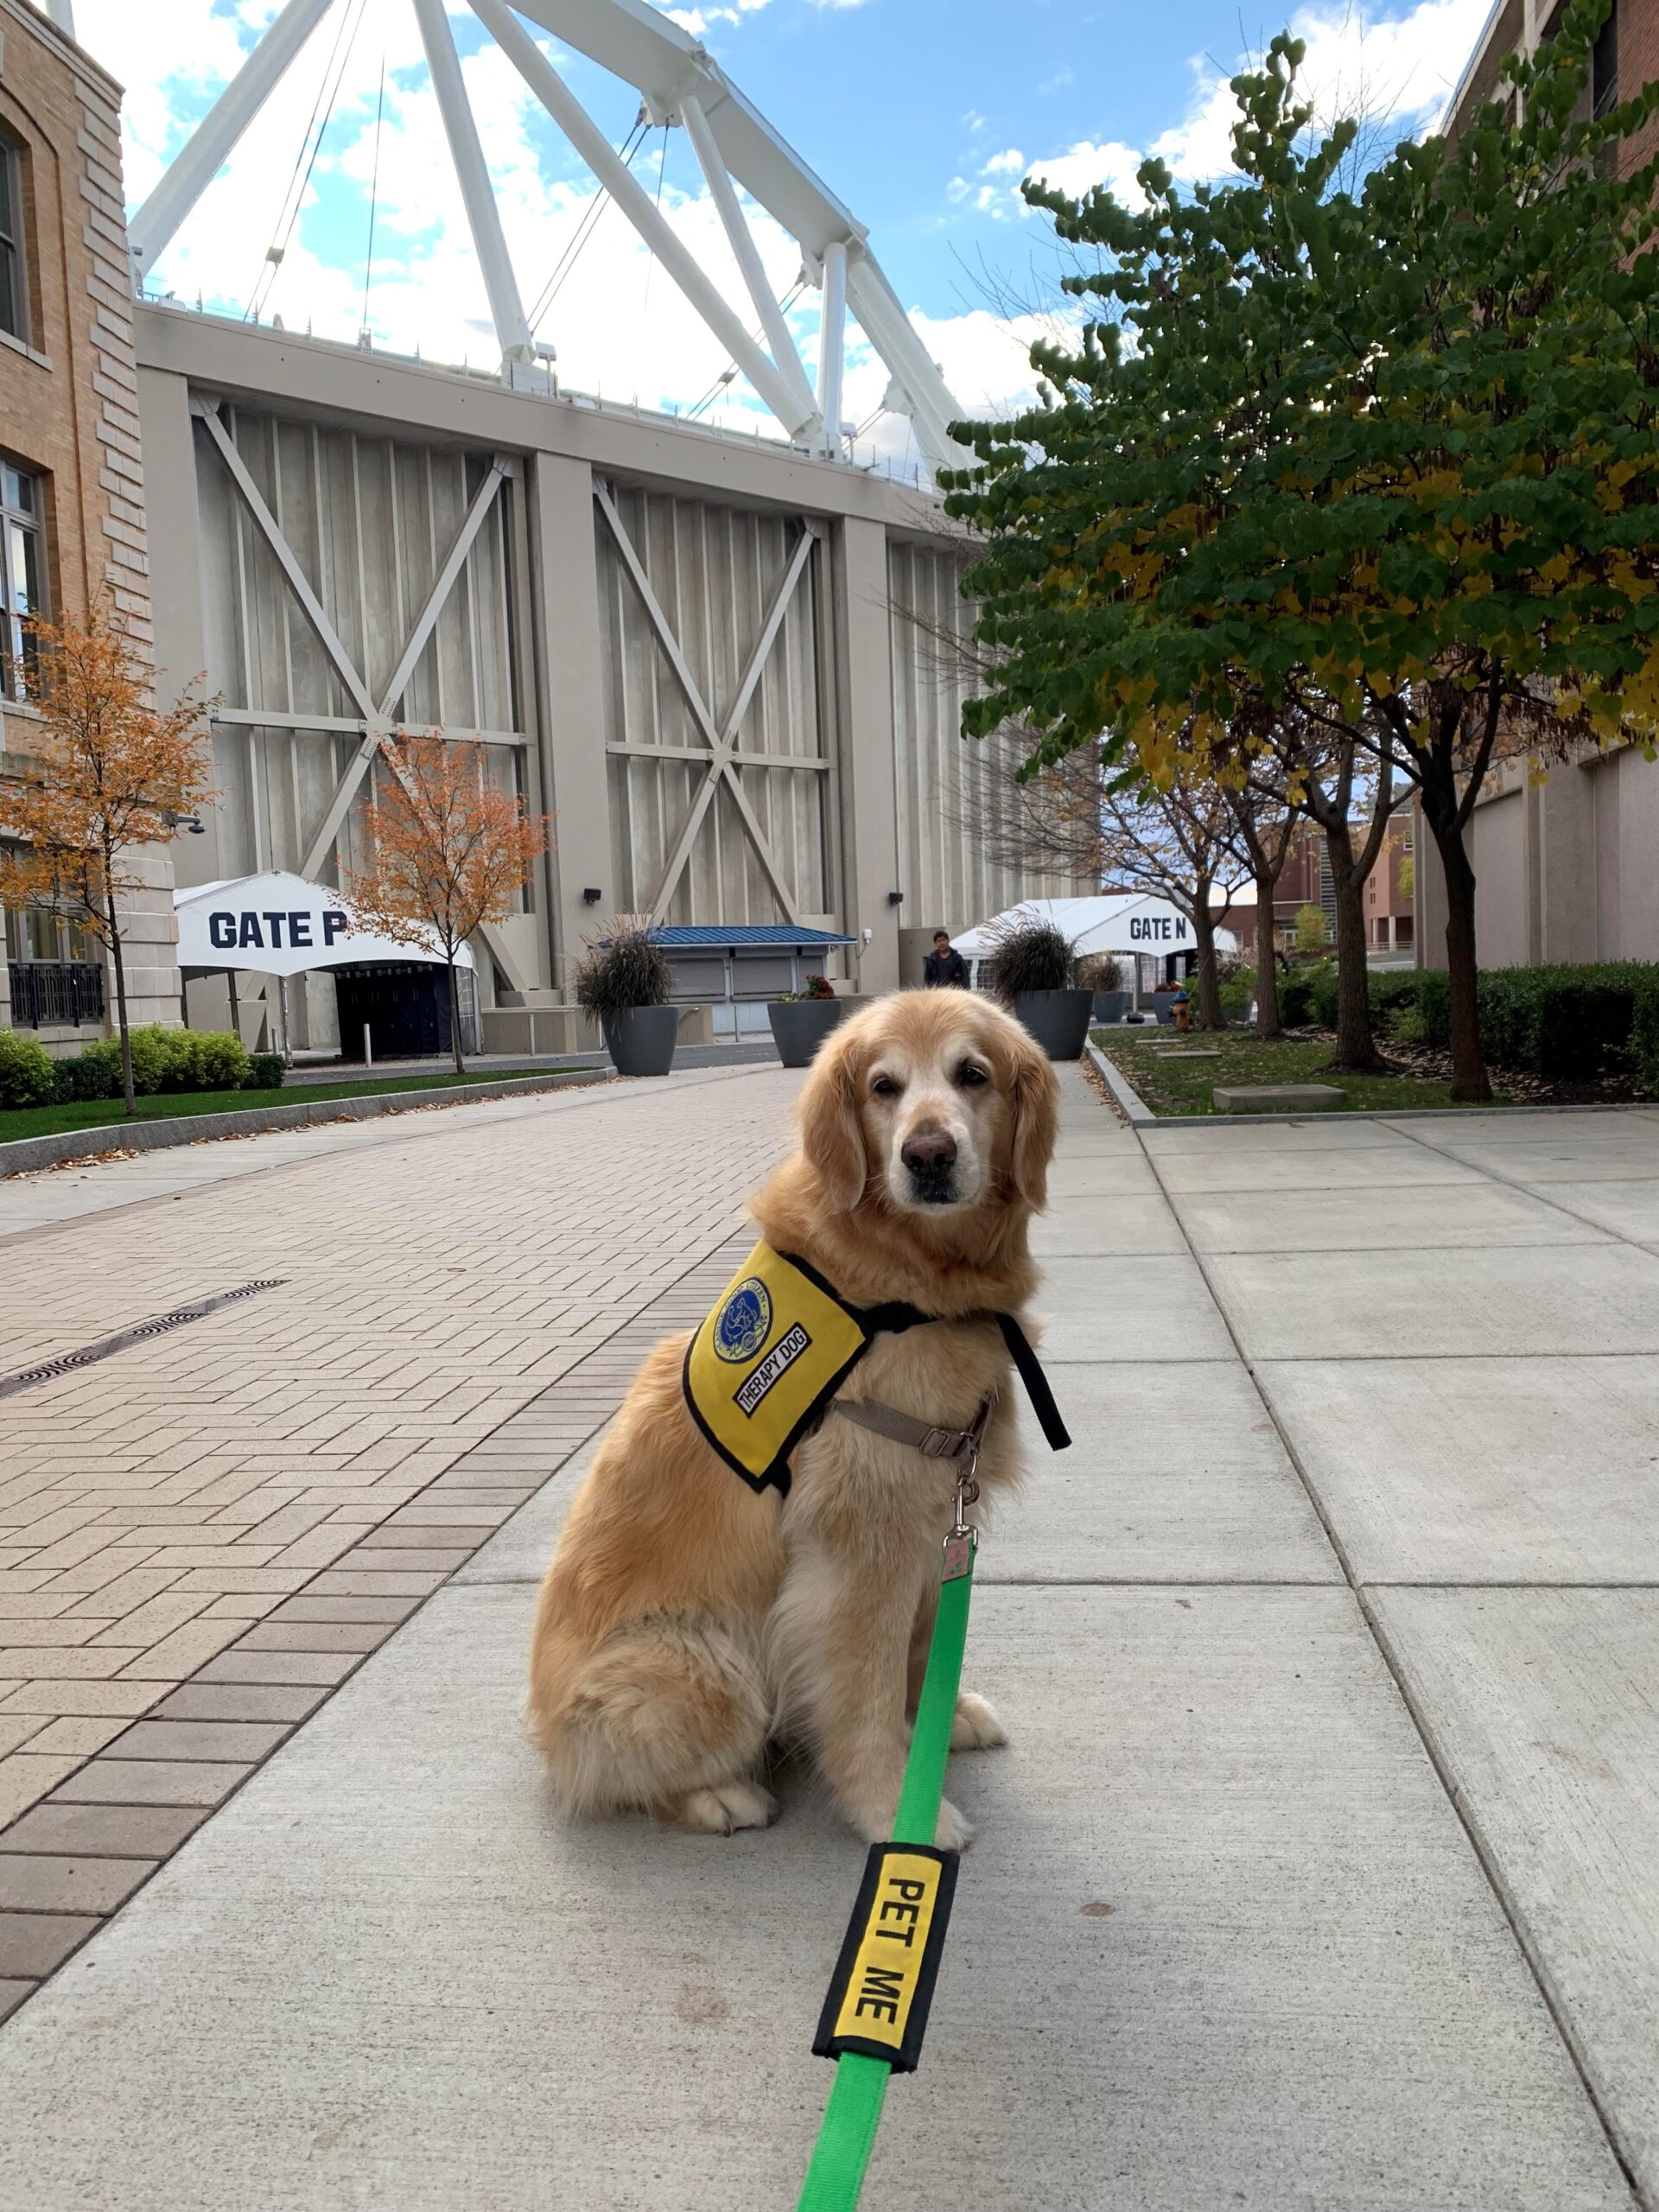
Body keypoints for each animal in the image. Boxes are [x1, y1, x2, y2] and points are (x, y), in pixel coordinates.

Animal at [526, 990, 1057, 1849]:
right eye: (883, 1086)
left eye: (972, 1074)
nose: (929, 1155)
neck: (907, 1284)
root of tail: (545, 1733)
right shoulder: (858, 1552)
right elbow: (865, 1696)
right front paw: (895, 1808)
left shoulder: (934, 1512)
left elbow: (921, 1649)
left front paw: (938, 1725)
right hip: (707, 1672)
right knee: (609, 1781)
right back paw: (720, 1797)